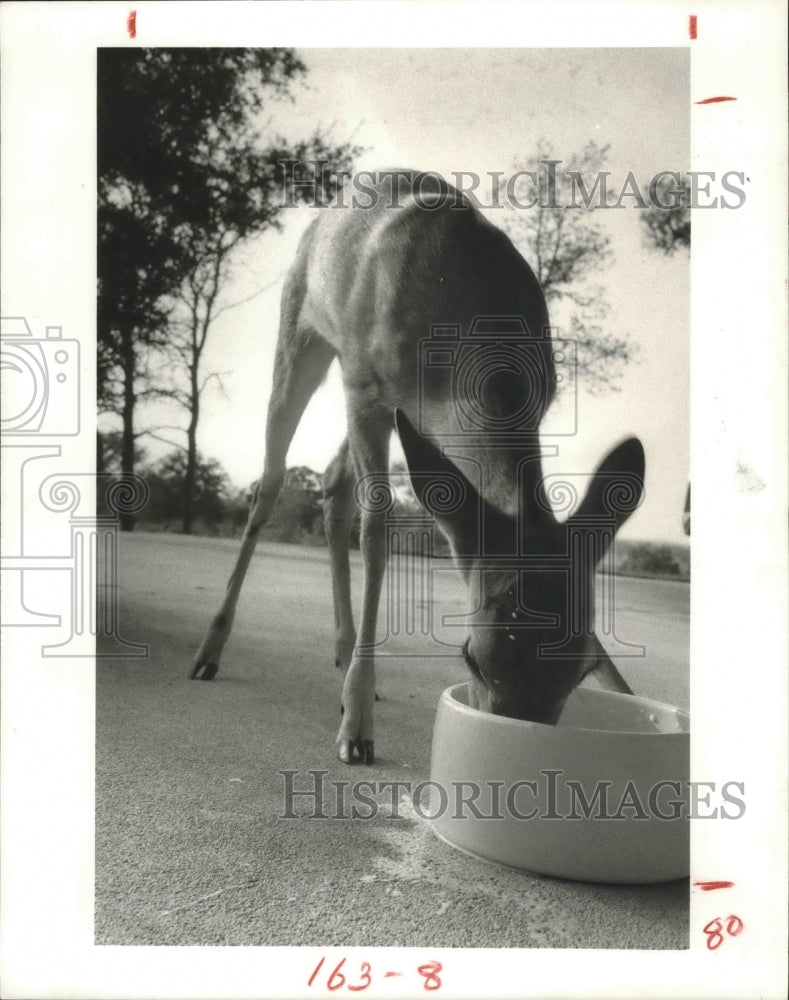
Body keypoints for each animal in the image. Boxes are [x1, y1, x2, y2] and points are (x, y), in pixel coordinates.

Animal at [191, 170, 645, 765]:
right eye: (471, 657)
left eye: (582, 667)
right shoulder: (366, 388)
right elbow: (377, 534)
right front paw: (357, 731)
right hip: (304, 338)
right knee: (271, 484)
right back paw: (211, 650)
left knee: (333, 482)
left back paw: (343, 661)